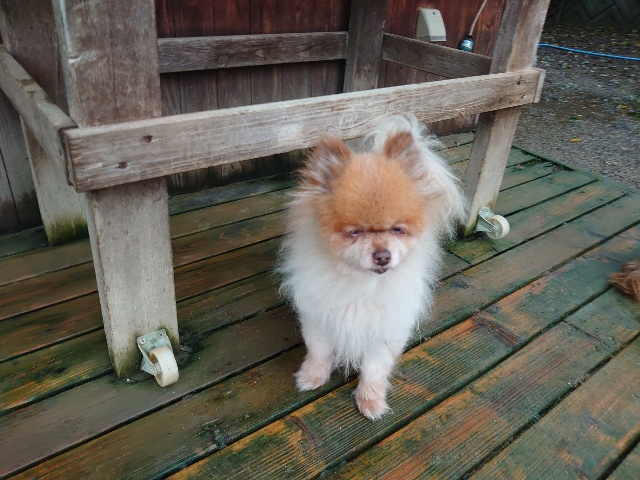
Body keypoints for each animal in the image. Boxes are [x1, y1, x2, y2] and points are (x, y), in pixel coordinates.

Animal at [279, 115, 466, 420]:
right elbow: (320, 352)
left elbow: (374, 368)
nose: (382, 255)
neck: (363, 284)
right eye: (355, 232)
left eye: (397, 229)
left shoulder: (386, 330)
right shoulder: (318, 318)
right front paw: (312, 377)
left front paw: (370, 400)